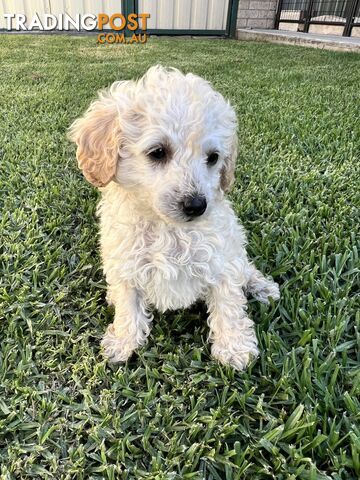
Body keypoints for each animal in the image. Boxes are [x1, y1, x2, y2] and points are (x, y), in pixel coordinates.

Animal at [69, 65, 280, 370]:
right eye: (158, 152)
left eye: (213, 158)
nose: (197, 205)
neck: (168, 228)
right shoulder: (125, 263)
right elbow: (128, 304)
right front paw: (123, 342)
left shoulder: (221, 260)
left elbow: (228, 303)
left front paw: (234, 348)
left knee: (246, 267)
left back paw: (261, 286)